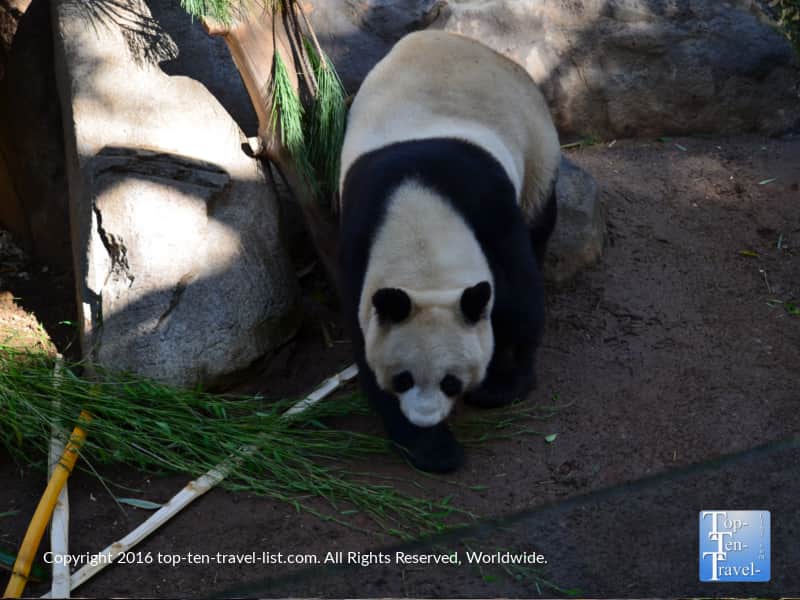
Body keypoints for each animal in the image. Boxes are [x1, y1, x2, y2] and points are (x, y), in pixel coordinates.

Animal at [337, 30, 561, 472]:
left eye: (450, 382)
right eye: (403, 378)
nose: (425, 416)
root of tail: (445, 34)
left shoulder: (487, 207)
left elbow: (520, 299)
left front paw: (503, 385)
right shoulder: (359, 237)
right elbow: (364, 343)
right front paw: (430, 447)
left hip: (535, 139)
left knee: (540, 212)